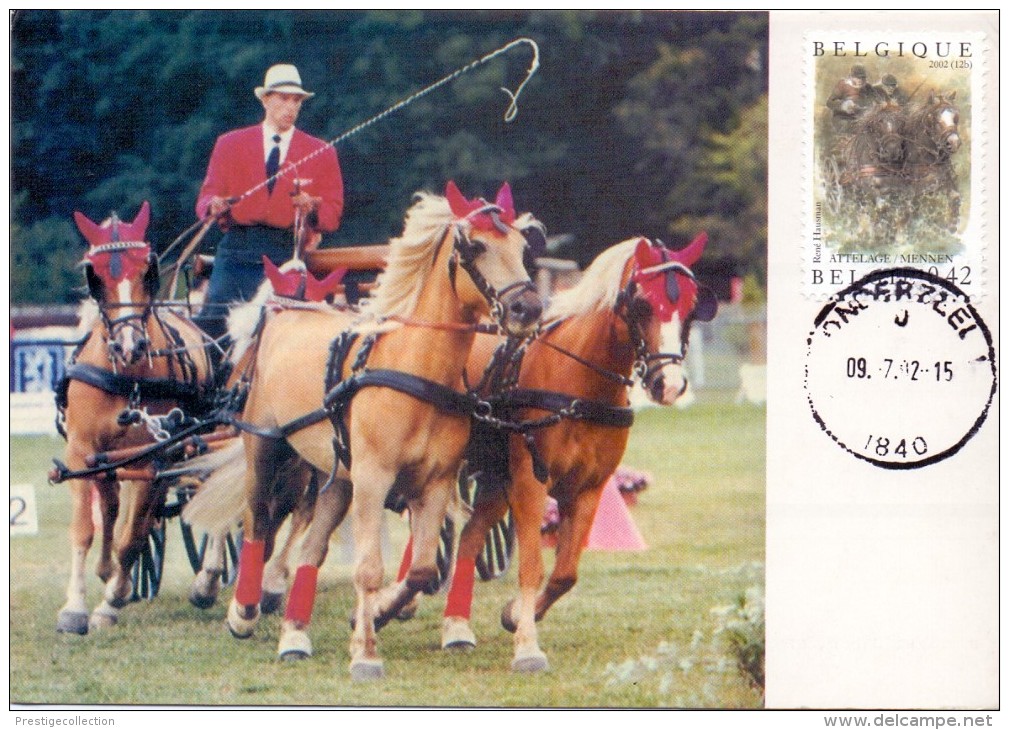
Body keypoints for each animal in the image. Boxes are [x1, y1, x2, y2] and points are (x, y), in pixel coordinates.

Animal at [55, 200, 214, 634]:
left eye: (148, 270)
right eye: (94, 274)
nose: (131, 345)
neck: (125, 376)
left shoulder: (150, 457)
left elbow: (132, 536)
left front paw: (110, 603)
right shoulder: (83, 452)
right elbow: (85, 528)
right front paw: (75, 606)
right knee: (114, 508)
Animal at [181, 182, 544, 678]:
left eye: (523, 248)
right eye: (476, 247)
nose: (529, 308)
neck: (415, 369)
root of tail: (285, 311)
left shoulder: (435, 482)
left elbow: (422, 569)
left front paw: (379, 613)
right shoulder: (373, 479)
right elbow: (369, 568)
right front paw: (366, 652)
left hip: (334, 476)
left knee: (310, 546)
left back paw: (294, 632)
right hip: (265, 447)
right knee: (256, 522)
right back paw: (244, 608)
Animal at [407, 235, 718, 674]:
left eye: (691, 307)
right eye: (642, 305)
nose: (669, 385)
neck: (577, 386)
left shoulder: (589, 489)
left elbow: (565, 573)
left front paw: (516, 615)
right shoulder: (530, 483)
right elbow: (532, 567)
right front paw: (527, 646)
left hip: (494, 480)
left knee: (470, 537)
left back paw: (456, 627)